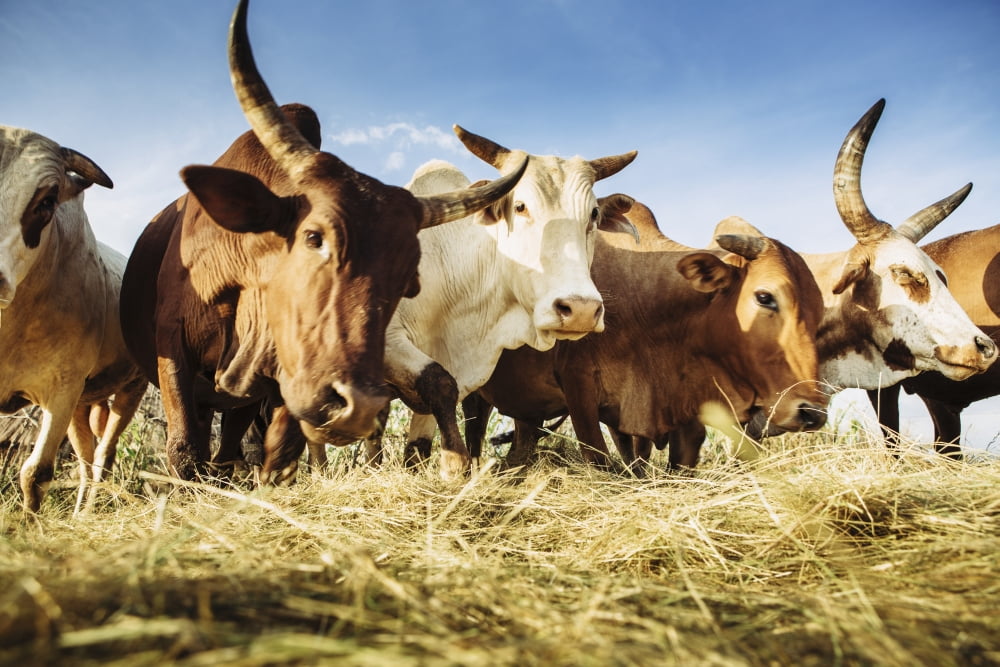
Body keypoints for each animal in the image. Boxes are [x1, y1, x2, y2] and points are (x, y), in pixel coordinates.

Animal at [0, 125, 147, 513]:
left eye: (48, 200)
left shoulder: (61, 390)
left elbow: (35, 474)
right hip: (83, 402)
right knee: (85, 461)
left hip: (130, 388)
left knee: (102, 458)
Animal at [118, 0, 525, 483]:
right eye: (314, 237)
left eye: (409, 276)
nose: (358, 405)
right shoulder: (172, 349)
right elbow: (184, 452)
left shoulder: (280, 385)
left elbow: (280, 451)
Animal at [462, 193, 829, 474]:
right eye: (764, 297)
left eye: (819, 309)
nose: (812, 413)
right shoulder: (579, 386)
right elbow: (600, 458)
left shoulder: (679, 411)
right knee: (473, 431)